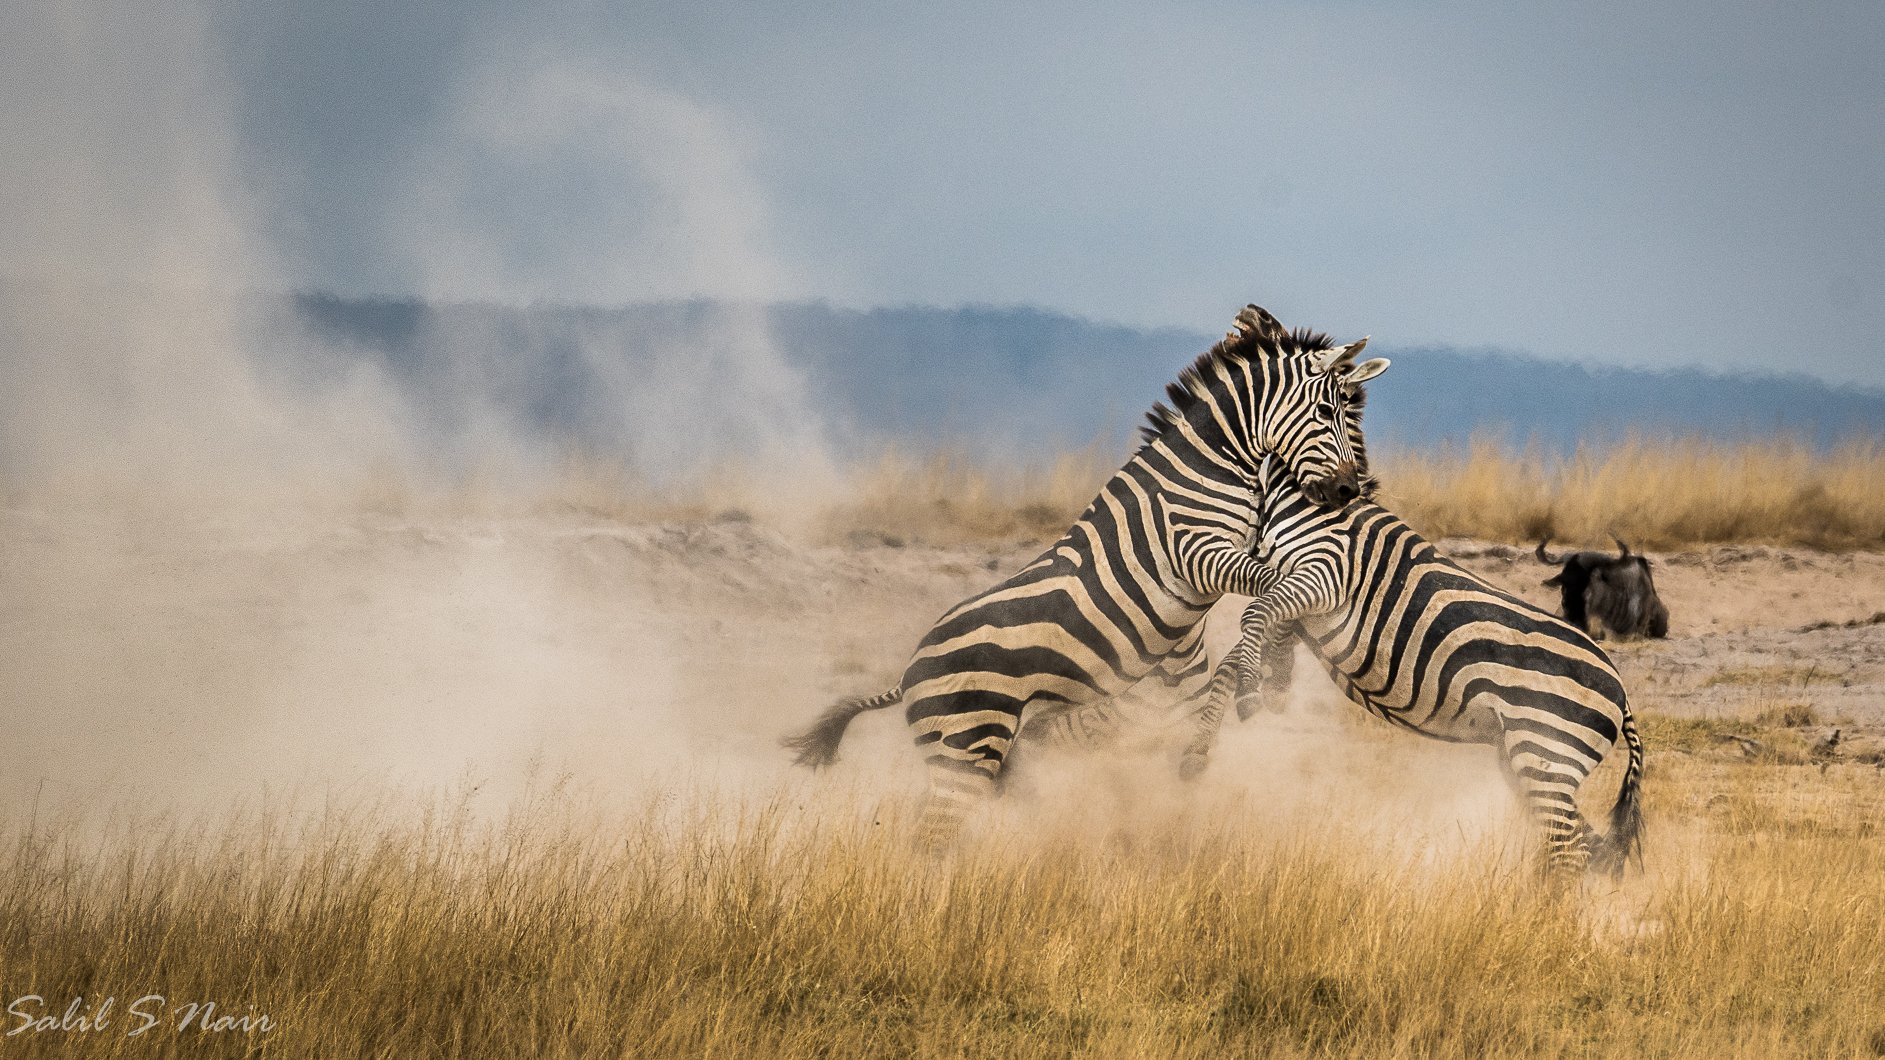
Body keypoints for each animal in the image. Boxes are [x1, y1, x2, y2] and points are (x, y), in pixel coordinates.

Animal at [783, 304, 1392, 850]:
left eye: (1346, 413)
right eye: (1325, 412)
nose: (1349, 490)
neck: (1207, 468)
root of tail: (907, 673)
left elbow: (1275, 584)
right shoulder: (1196, 552)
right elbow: (1268, 584)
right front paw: (1270, 675)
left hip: (971, 752)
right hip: (969, 744)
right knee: (929, 842)